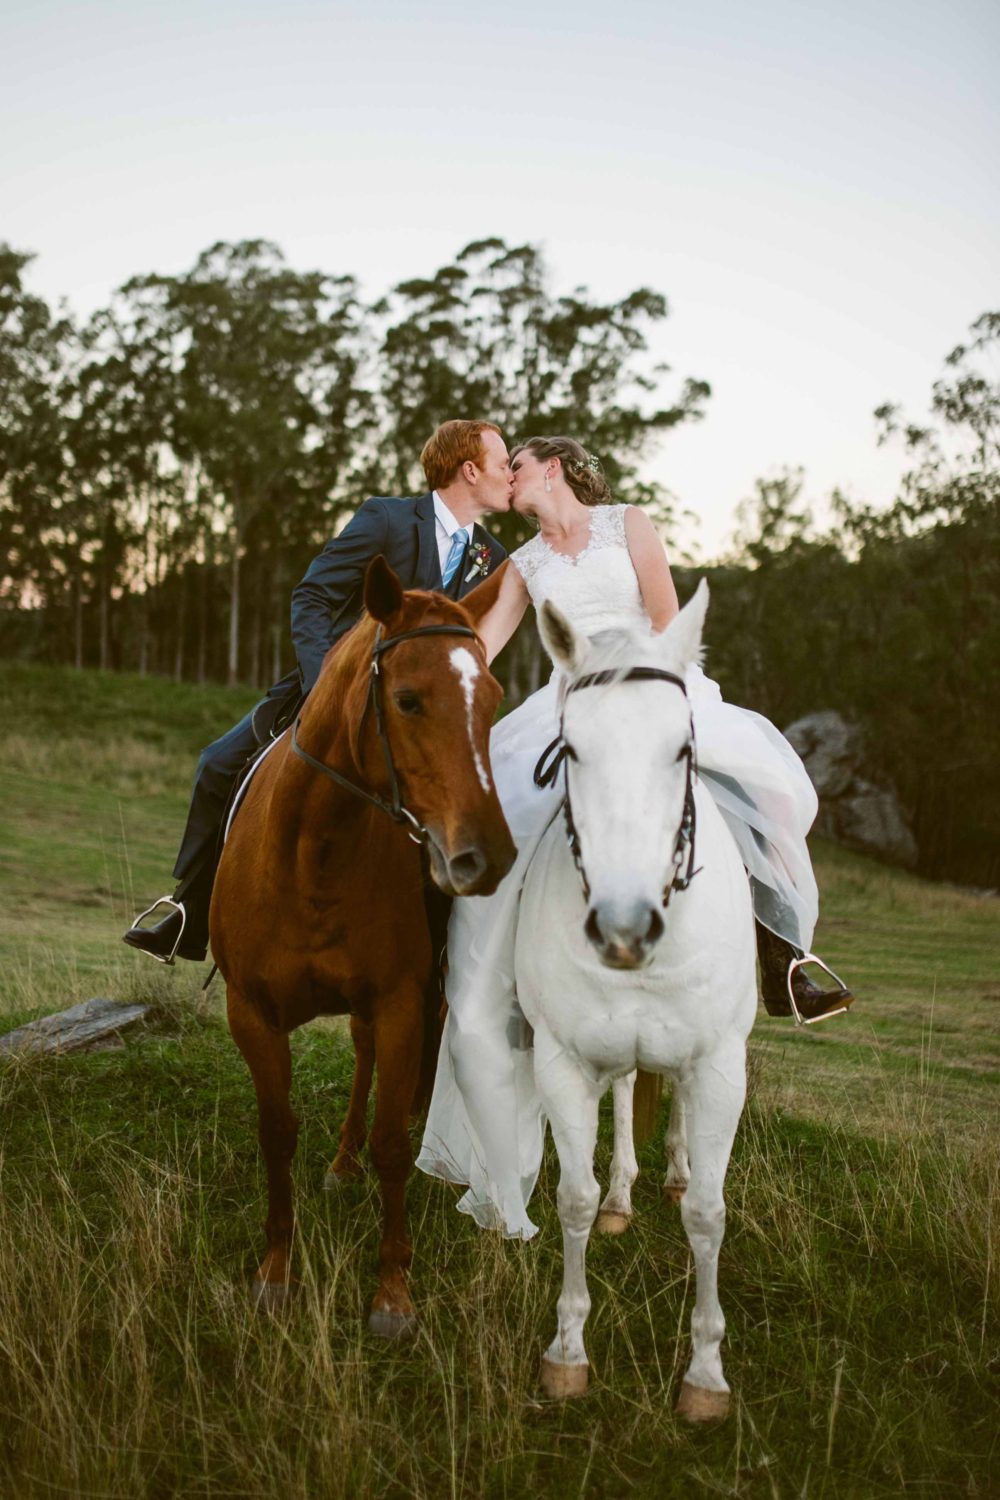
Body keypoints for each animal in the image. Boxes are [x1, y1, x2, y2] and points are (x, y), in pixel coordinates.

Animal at [211, 561, 515, 1338]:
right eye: (407, 700)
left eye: (493, 699)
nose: (488, 857)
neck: (316, 851)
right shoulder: (250, 1012)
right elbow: (278, 1132)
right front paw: (274, 1272)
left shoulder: (402, 1001)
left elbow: (393, 1144)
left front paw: (392, 1293)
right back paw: (341, 1164)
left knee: (370, 1060)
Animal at [512, 579, 755, 1422]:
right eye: (571, 751)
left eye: (680, 750)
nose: (623, 929)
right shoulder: (561, 1063)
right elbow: (575, 1200)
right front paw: (567, 1352)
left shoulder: (720, 1069)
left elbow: (708, 1213)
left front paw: (707, 1374)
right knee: (624, 1099)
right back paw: (626, 1193)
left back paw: (675, 1167)